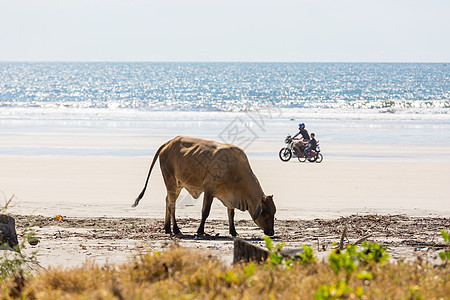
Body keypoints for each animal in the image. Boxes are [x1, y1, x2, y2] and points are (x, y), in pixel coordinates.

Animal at [132, 136, 276, 237]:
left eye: (273, 212)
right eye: (265, 213)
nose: (271, 232)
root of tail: (169, 142)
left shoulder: (230, 195)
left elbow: (231, 213)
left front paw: (233, 231)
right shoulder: (209, 189)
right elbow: (205, 212)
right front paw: (200, 231)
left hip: (178, 184)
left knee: (167, 200)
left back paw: (167, 228)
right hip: (170, 180)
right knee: (172, 204)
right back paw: (176, 229)